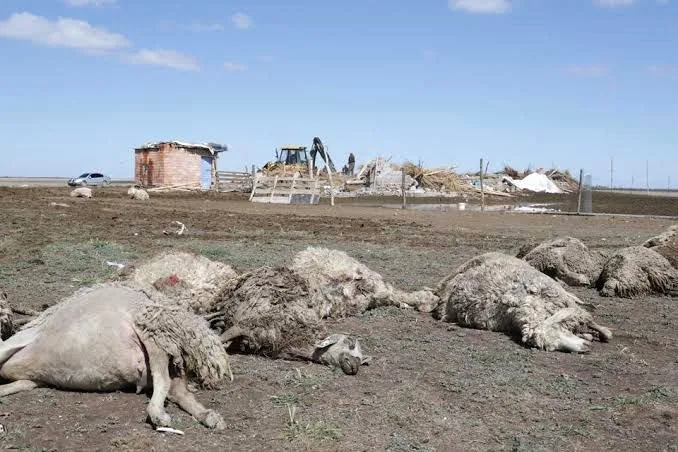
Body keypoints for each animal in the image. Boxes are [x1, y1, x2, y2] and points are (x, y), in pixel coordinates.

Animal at [207, 266, 372, 376]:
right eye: (349, 342)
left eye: (361, 359)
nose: (355, 366)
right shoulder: (246, 326)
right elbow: (221, 339)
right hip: (225, 300)